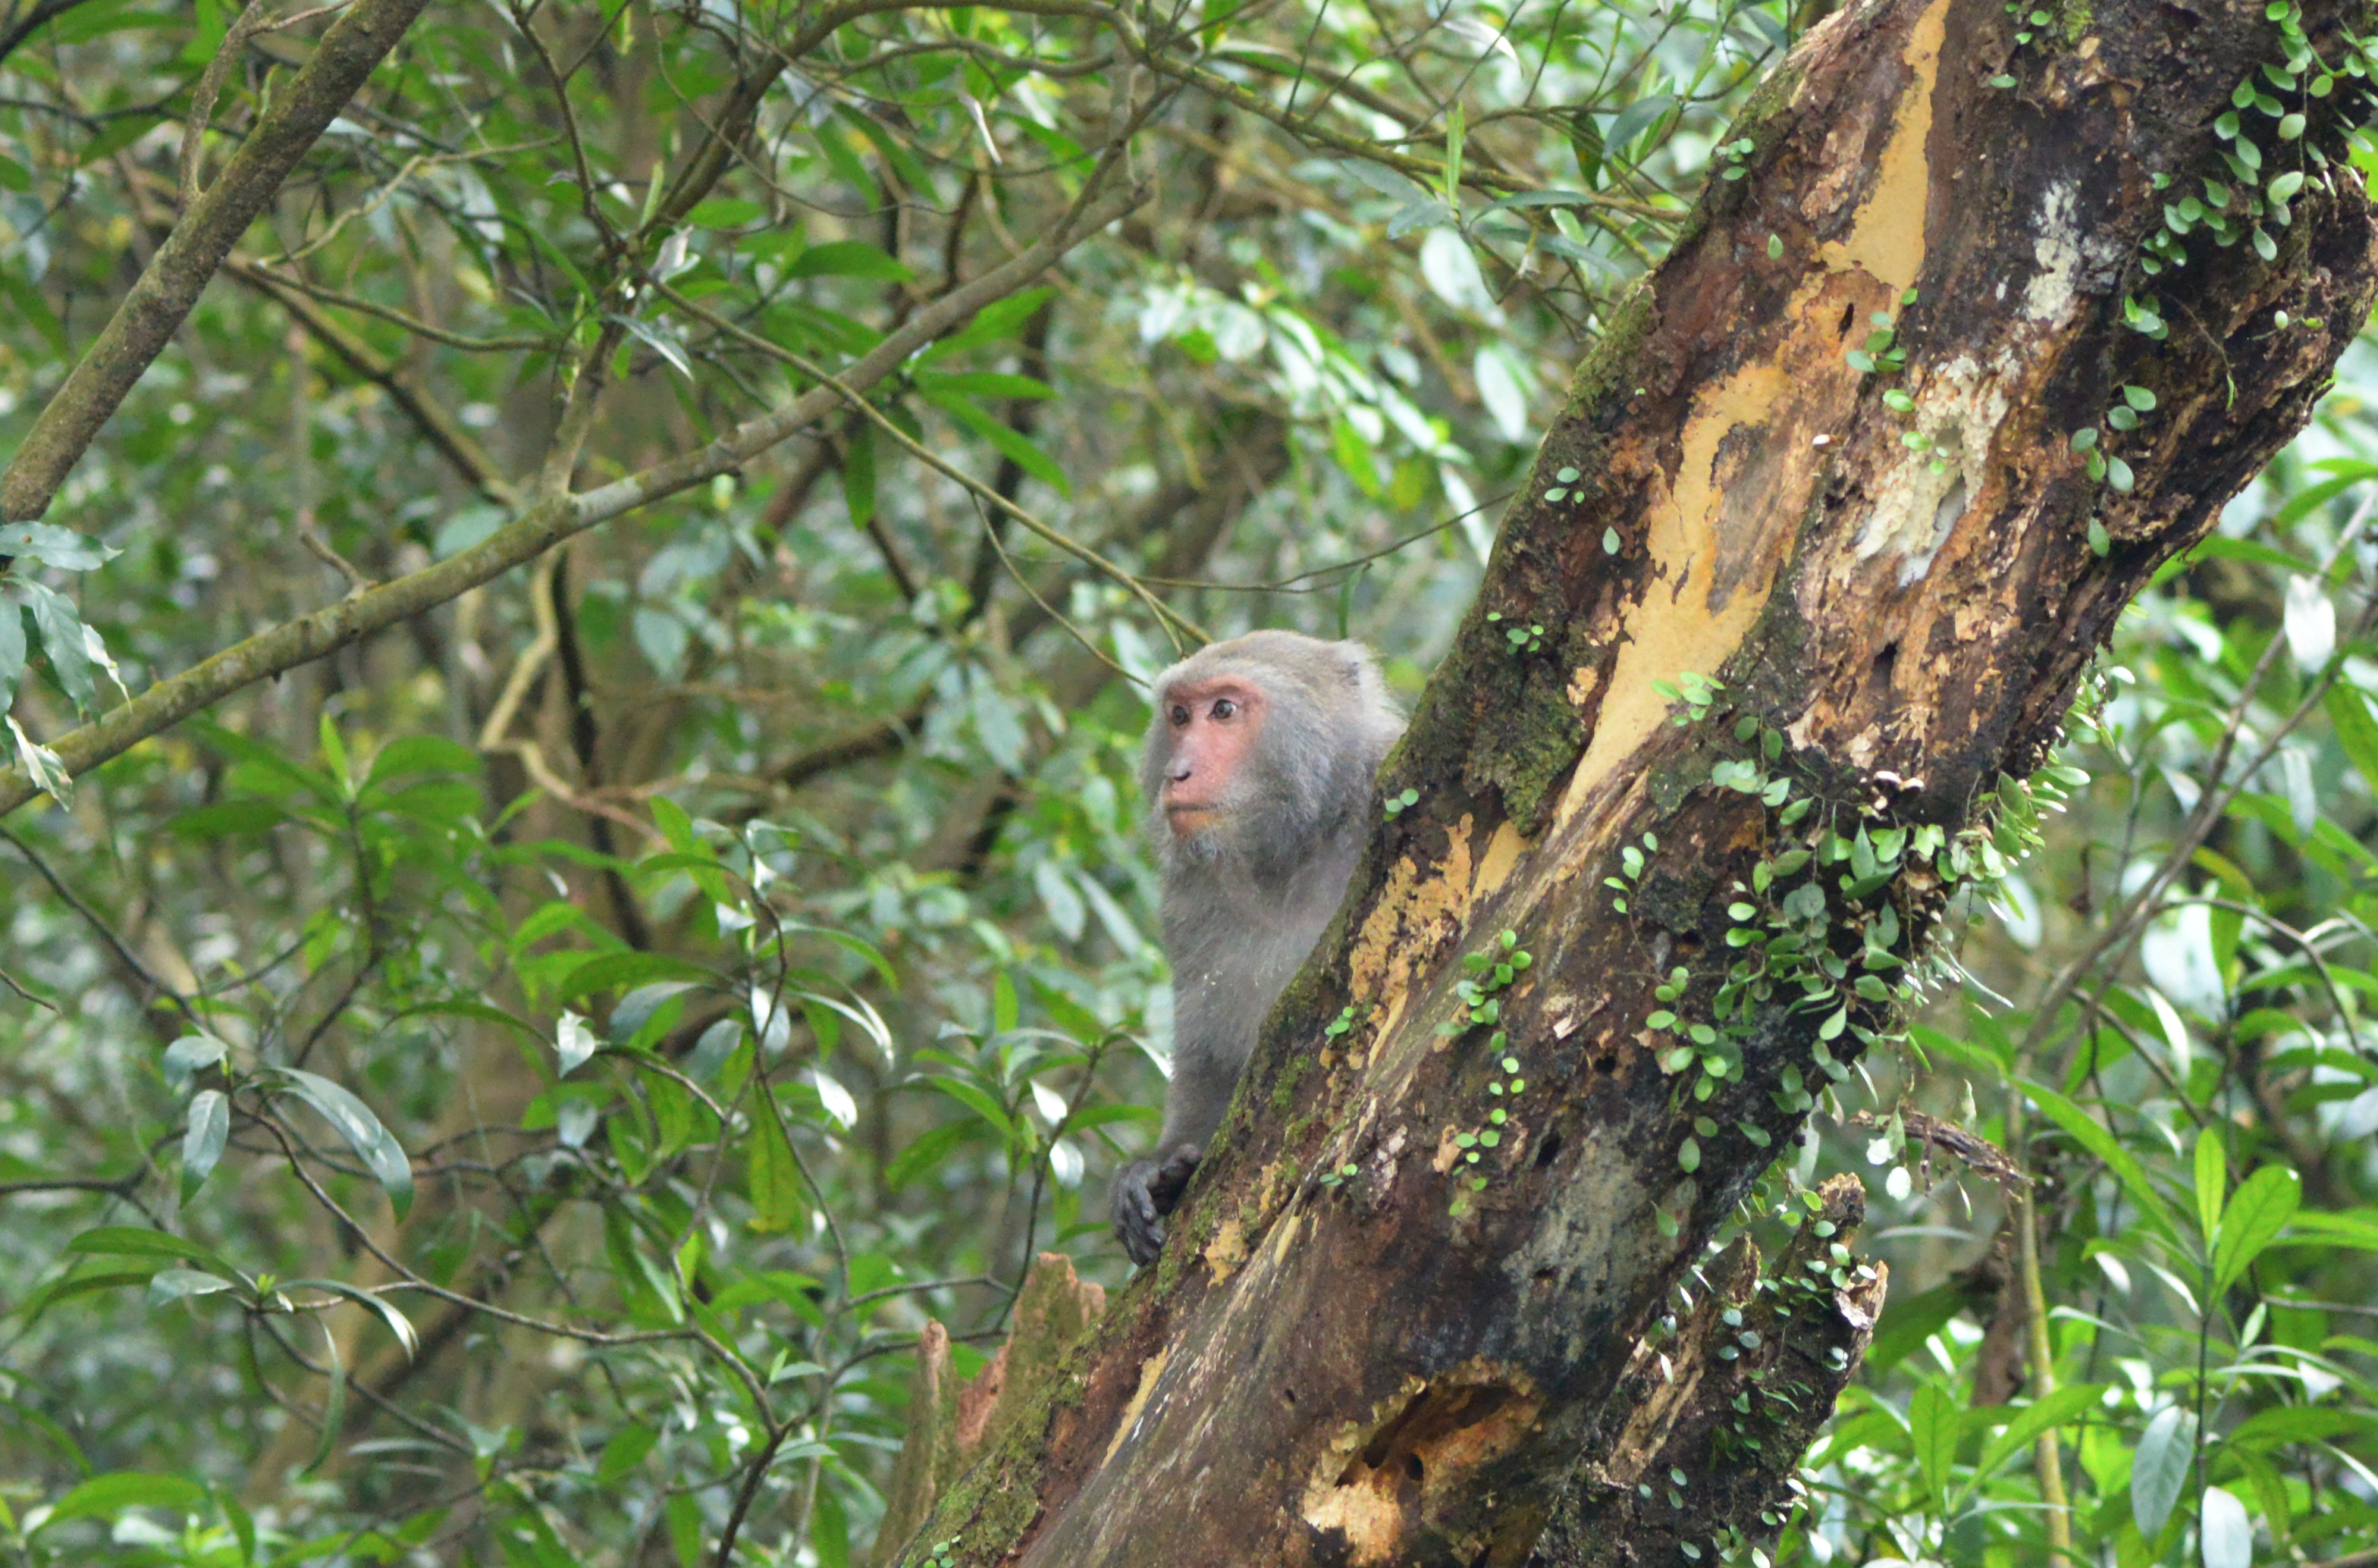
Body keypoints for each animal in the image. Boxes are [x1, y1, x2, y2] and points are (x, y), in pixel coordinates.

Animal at [1103, 632, 1398, 1265]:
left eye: (1223, 710)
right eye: (1179, 716)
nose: (1177, 772)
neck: (1293, 849)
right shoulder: (1191, 899)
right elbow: (1209, 1055)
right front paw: (1159, 1170)